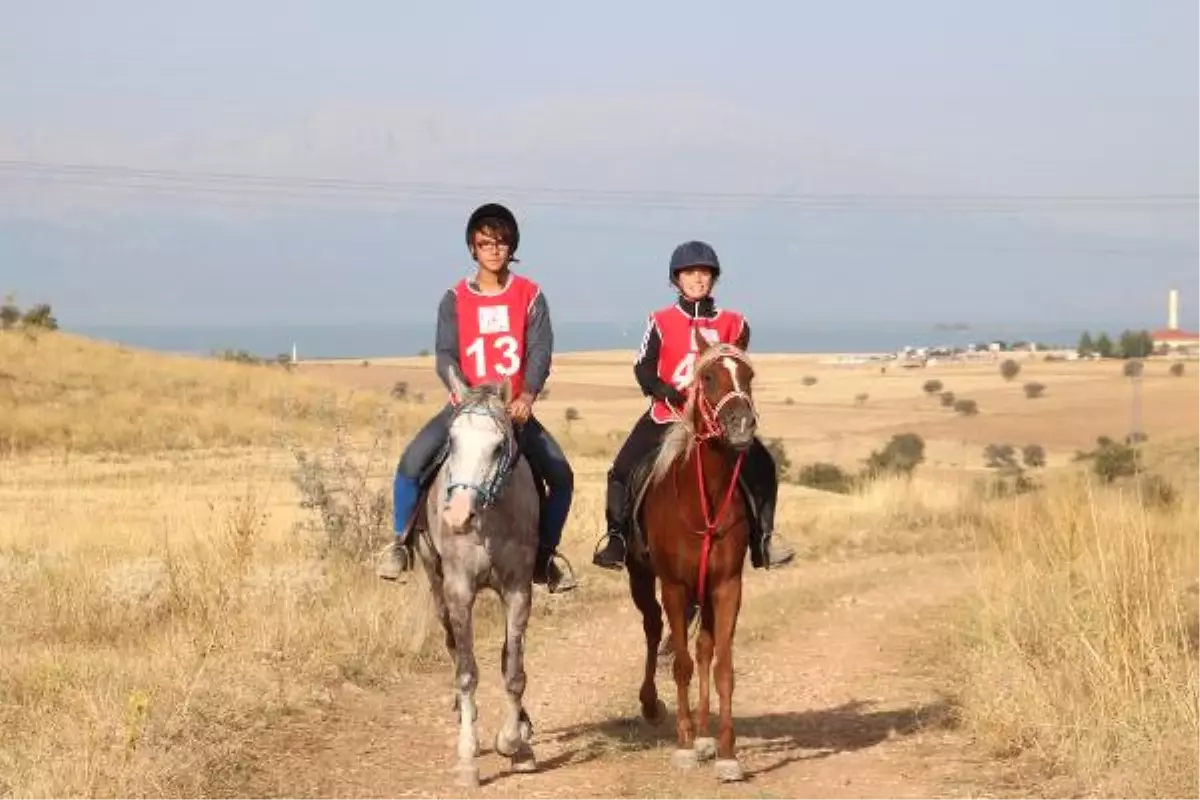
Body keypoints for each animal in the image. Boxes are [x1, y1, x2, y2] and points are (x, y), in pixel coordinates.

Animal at [415, 376, 542, 786]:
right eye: (452, 442)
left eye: (499, 446)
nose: (457, 516)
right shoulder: (459, 591)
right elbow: (468, 671)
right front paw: (468, 759)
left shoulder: (518, 591)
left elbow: (514, 669)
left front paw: (515, 744)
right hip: (436, 581)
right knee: (453, 647)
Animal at [624, 328, 753, 786]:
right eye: (709, 377)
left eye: (749, 375)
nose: (742, 425)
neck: (705, 502)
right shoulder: (675, 587)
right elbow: (679, 663)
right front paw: (682, 745)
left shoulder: (727, 586)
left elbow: (722, 666)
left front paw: (726, 753)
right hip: (641, 578)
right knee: (651, 629)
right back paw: (653, 707)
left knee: (703, 649)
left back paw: (703, 735)